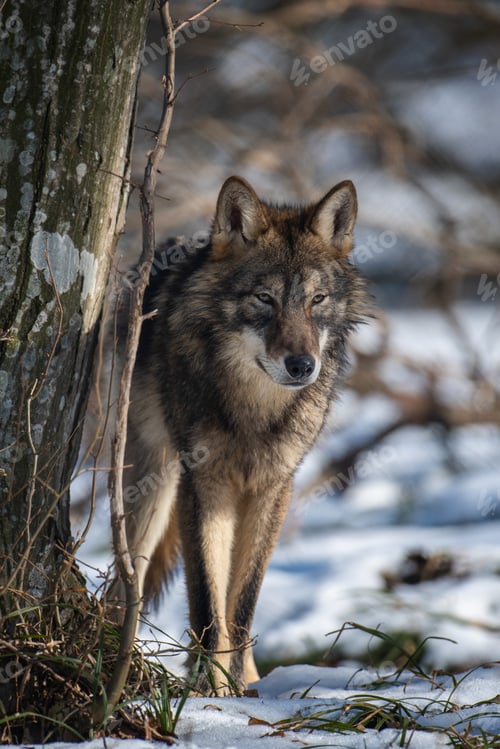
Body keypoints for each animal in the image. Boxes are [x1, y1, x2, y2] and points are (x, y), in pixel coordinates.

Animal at [111, 175, 367, 694]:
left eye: (316, 300)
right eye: (264, 299)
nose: (302, 366)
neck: (255, 409)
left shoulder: (275, 487)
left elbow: (242, 603)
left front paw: (239, 689)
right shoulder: (203, 485)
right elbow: (208, 604)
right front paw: (210, 691)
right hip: (153, 490)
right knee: (128, 580)